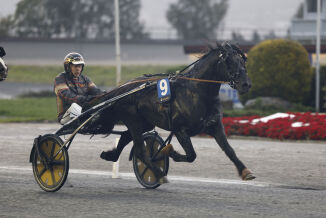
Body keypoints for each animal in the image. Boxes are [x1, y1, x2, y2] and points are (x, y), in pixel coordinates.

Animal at [89, 41, 255, 181]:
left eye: (242, 61)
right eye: (229, 61)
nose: (246, 84)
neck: (198, 92)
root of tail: (122, 88)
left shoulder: (215, 126)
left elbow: (229, 150)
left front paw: (246, 171)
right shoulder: (180, 129)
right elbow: (191, 155)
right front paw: (168, 151)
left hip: (144, 123)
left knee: (125, 137)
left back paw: (110, 155)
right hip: (133, 120)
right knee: (141, 151)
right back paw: (157, 173)